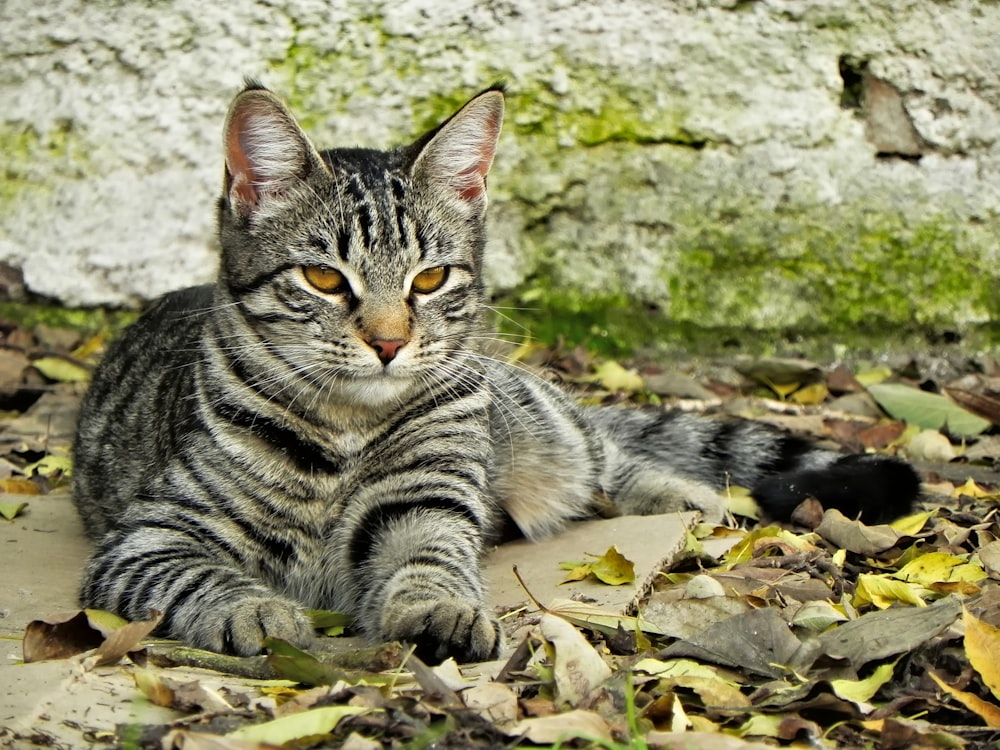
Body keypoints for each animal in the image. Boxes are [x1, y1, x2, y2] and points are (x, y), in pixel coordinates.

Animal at [72, 83, 920, 664]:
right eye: (322, 279)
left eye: (430, 279)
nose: (389, 343)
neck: (344, 433)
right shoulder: (152, 535)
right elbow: (198, 576)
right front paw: (253, 609)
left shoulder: (426, 503)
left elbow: (430, 559)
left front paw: (438, 608)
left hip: (538, 425)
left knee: (607, 449)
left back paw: (682, 491)